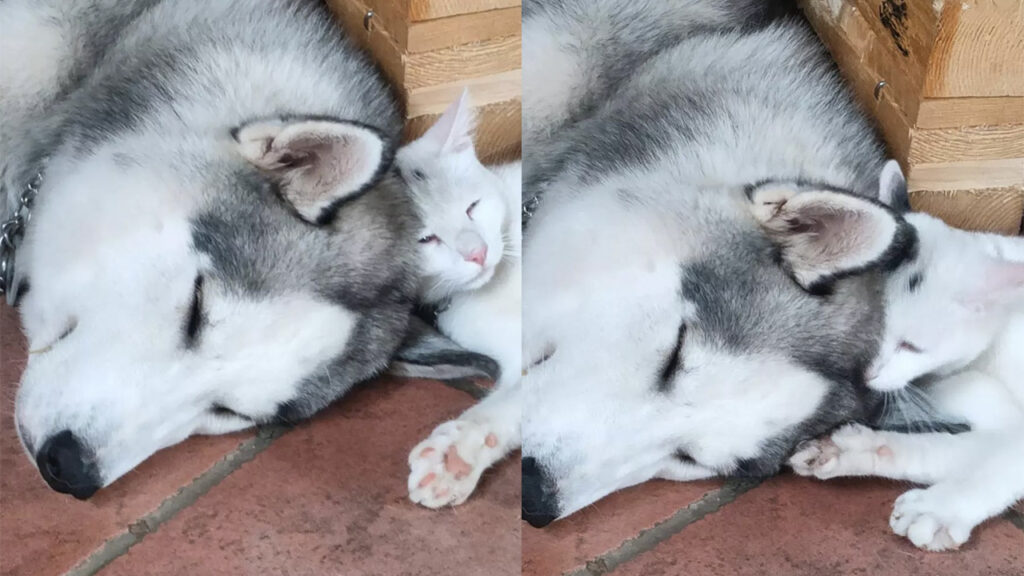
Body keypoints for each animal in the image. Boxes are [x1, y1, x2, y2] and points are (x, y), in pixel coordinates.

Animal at [790, 159, 1024, 545]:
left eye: (911, 346)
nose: (867, 374)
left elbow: (1003, 460)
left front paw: (943, 509)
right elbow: (964, 450)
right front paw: (855, 450)